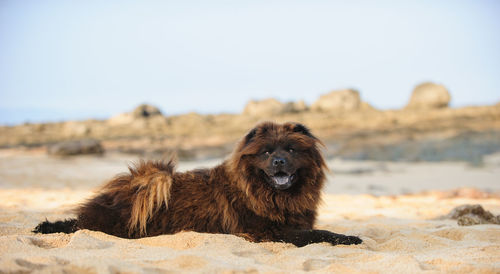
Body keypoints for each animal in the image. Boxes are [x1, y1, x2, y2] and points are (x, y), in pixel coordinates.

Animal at [36, 122, 364, 246]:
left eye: (292, 150)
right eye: (267, 152)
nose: (279, 162)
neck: (269, 195)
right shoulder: (268, 231)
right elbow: (319, 233)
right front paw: (350, 237)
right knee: (83, 225)